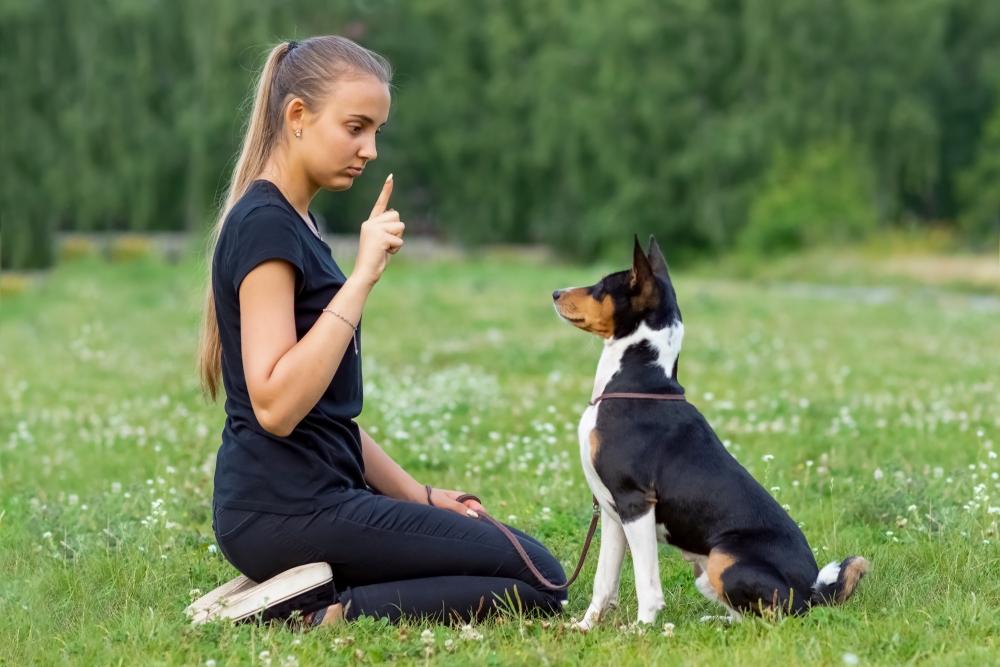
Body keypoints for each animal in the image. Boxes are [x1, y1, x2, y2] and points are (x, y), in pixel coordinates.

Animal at [552, 236, 872, 632]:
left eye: (601, 286)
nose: (555, 292)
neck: (634, 382)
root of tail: (812, 595)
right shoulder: (612, 512)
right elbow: (603, 582)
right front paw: (585, 628)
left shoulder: (635, 502)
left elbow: (647, 583)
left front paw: (641, 630)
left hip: (724, 557)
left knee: (776, 616)